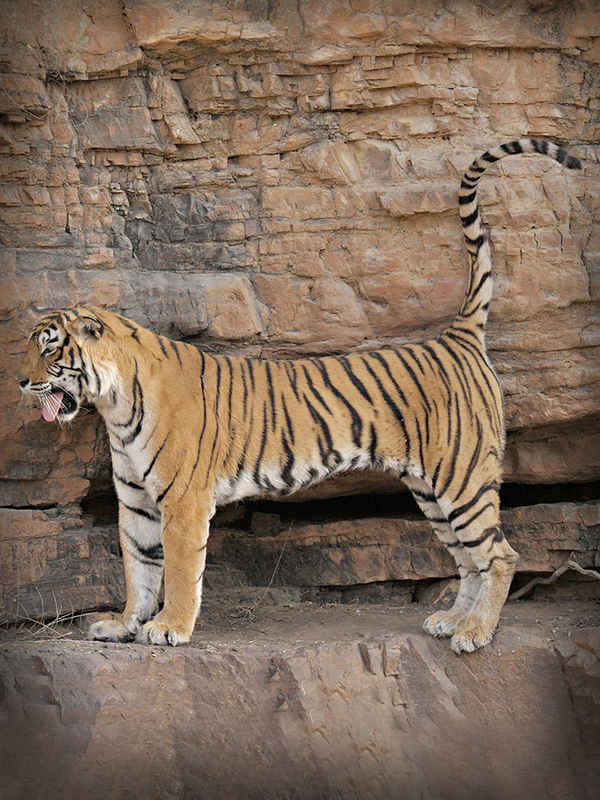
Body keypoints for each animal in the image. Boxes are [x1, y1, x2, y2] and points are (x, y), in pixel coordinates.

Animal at [19, 138, 581, 653]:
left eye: (49, 349)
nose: (21, 382)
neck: (114, 406)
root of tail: (456, 335)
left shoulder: (183, 499)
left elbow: (177, 571)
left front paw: (168, 628)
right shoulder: (135, 501)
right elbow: (138, 568)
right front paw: (123, 624)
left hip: (462, 478)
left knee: (499, 556)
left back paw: (476, 634)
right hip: (431, 490)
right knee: (469, 559)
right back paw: (452, 622)